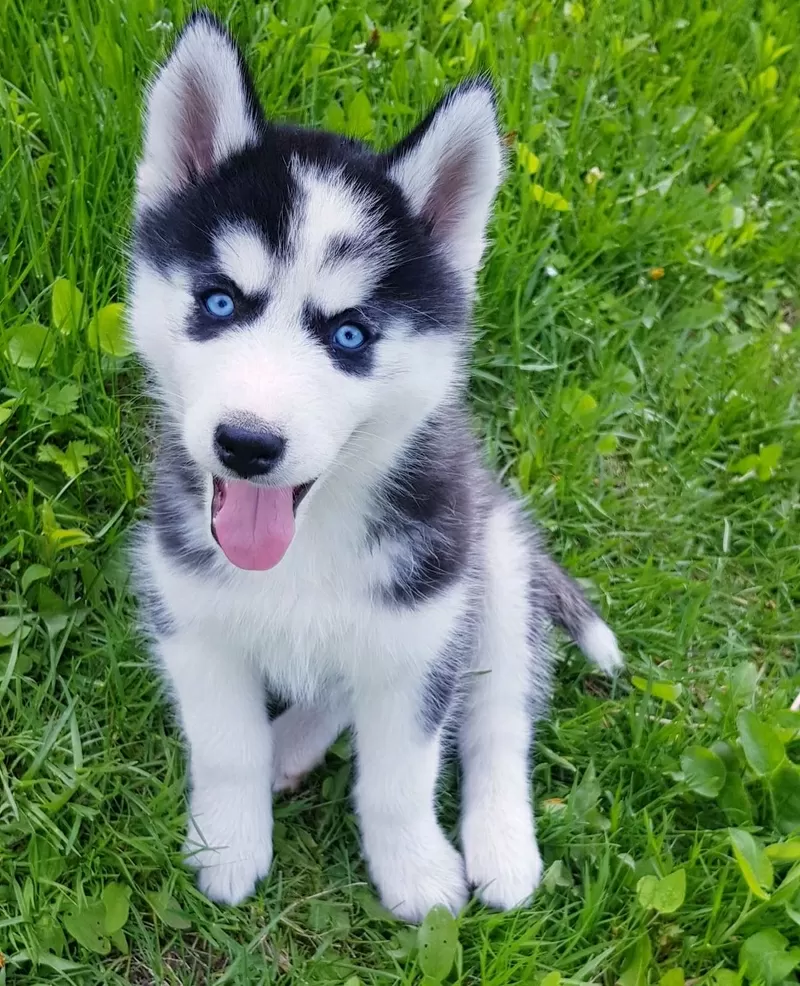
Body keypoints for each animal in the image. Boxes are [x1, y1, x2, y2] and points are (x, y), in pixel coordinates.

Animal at [131, 9, 620, 924]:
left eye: (350, 334)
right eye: (219, 302)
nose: (247, 444)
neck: (305, 545)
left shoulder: (424, 630)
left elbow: (402, 775)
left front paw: (418, 875)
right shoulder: (193, 619)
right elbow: (225, 748)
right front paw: (228, 846)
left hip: (496, 566)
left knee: (499, 720)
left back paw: (503, 845)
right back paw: (290, 740)